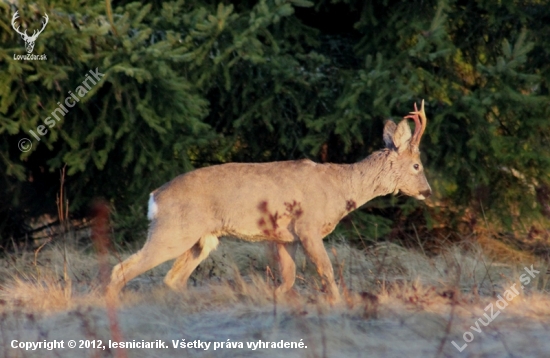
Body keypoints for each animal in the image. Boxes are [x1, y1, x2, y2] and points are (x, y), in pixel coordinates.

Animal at [108, 100, 434, 302]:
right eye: (417, 165)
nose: (428, 192)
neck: (340, 189)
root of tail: (155, 197)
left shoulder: (285, 237)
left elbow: (287, 280)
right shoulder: (307, 227)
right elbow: (326, 272)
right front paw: (339, 304)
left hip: (202, 239)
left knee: (173, 279)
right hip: (173, 231)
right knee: (122, 269)